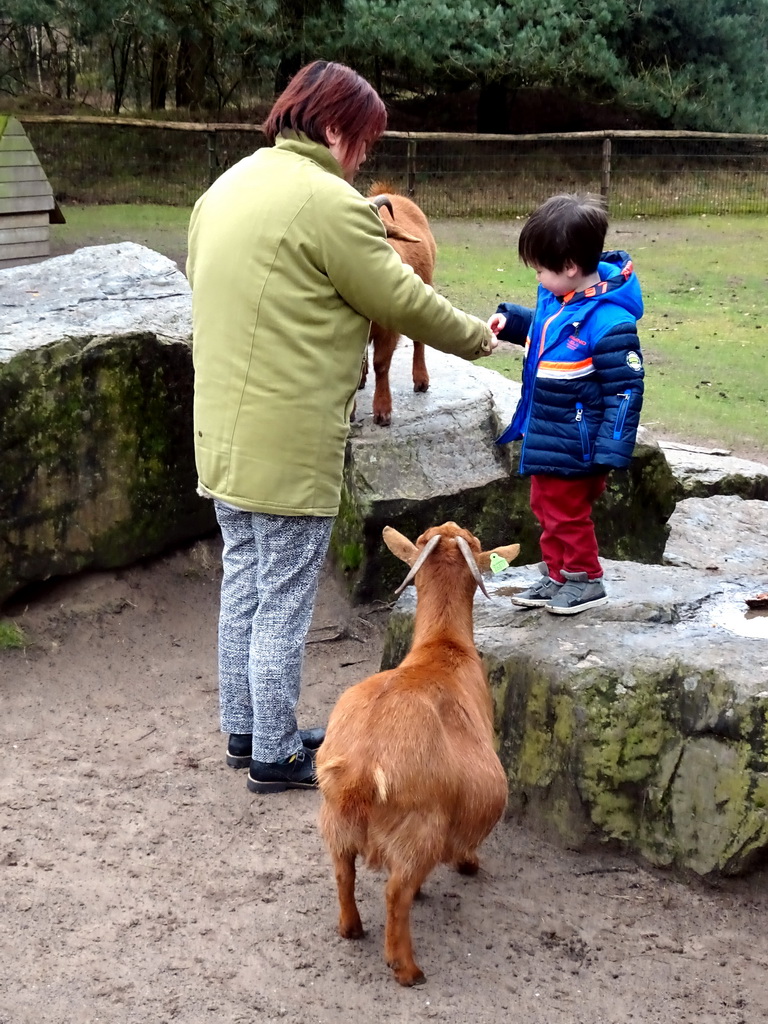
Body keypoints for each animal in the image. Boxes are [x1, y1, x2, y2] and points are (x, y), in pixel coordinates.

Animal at [315, 520, 520, 983]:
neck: (442, 646)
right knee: (396, 893)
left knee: (342, 872)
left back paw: (351, 929)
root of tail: (361, 767)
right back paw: (407, 968)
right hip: (420, 830)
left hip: (334, 822)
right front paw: (469, 865)